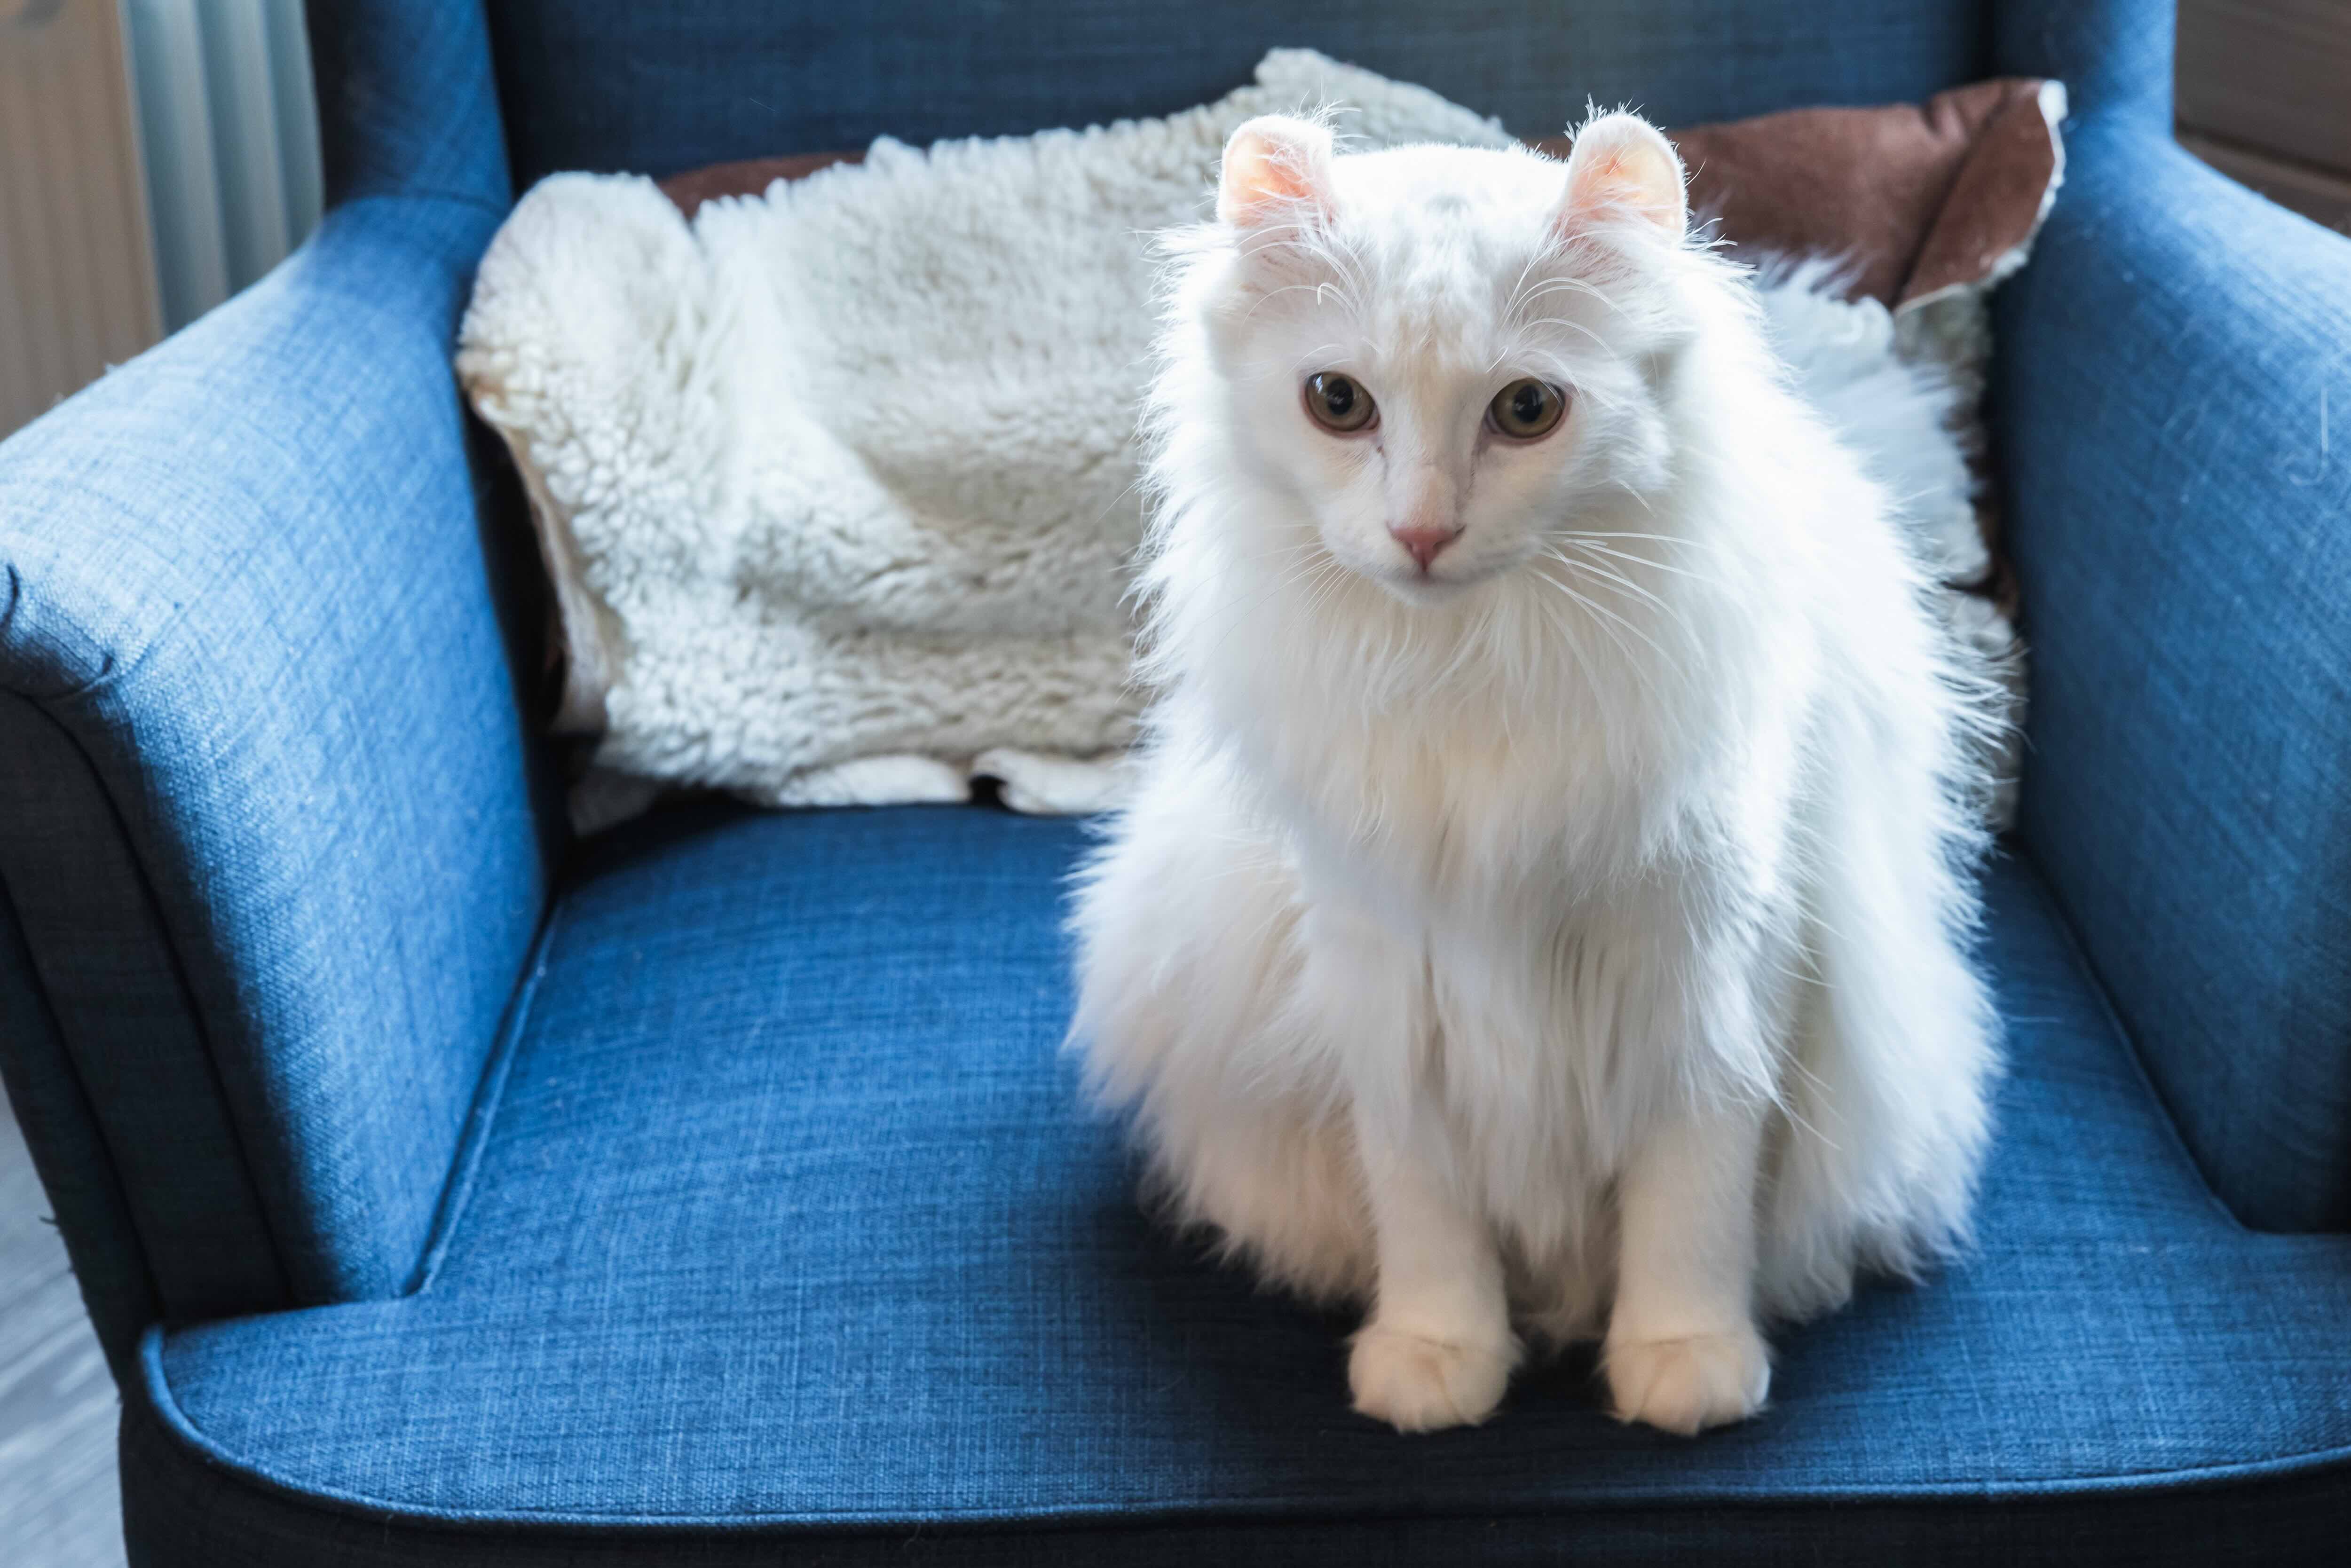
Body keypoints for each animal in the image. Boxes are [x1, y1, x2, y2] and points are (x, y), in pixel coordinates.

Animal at [1072, 107, 2003, 1439]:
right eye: (1337, 402)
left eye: (1524, 410)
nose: (1420, 532)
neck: (1473, 670)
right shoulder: (1387, 970)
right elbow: (1423, 1206)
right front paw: (1437, 1353)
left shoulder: (1707, 970)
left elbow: (1692, 1193)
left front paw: (1682, 1359)